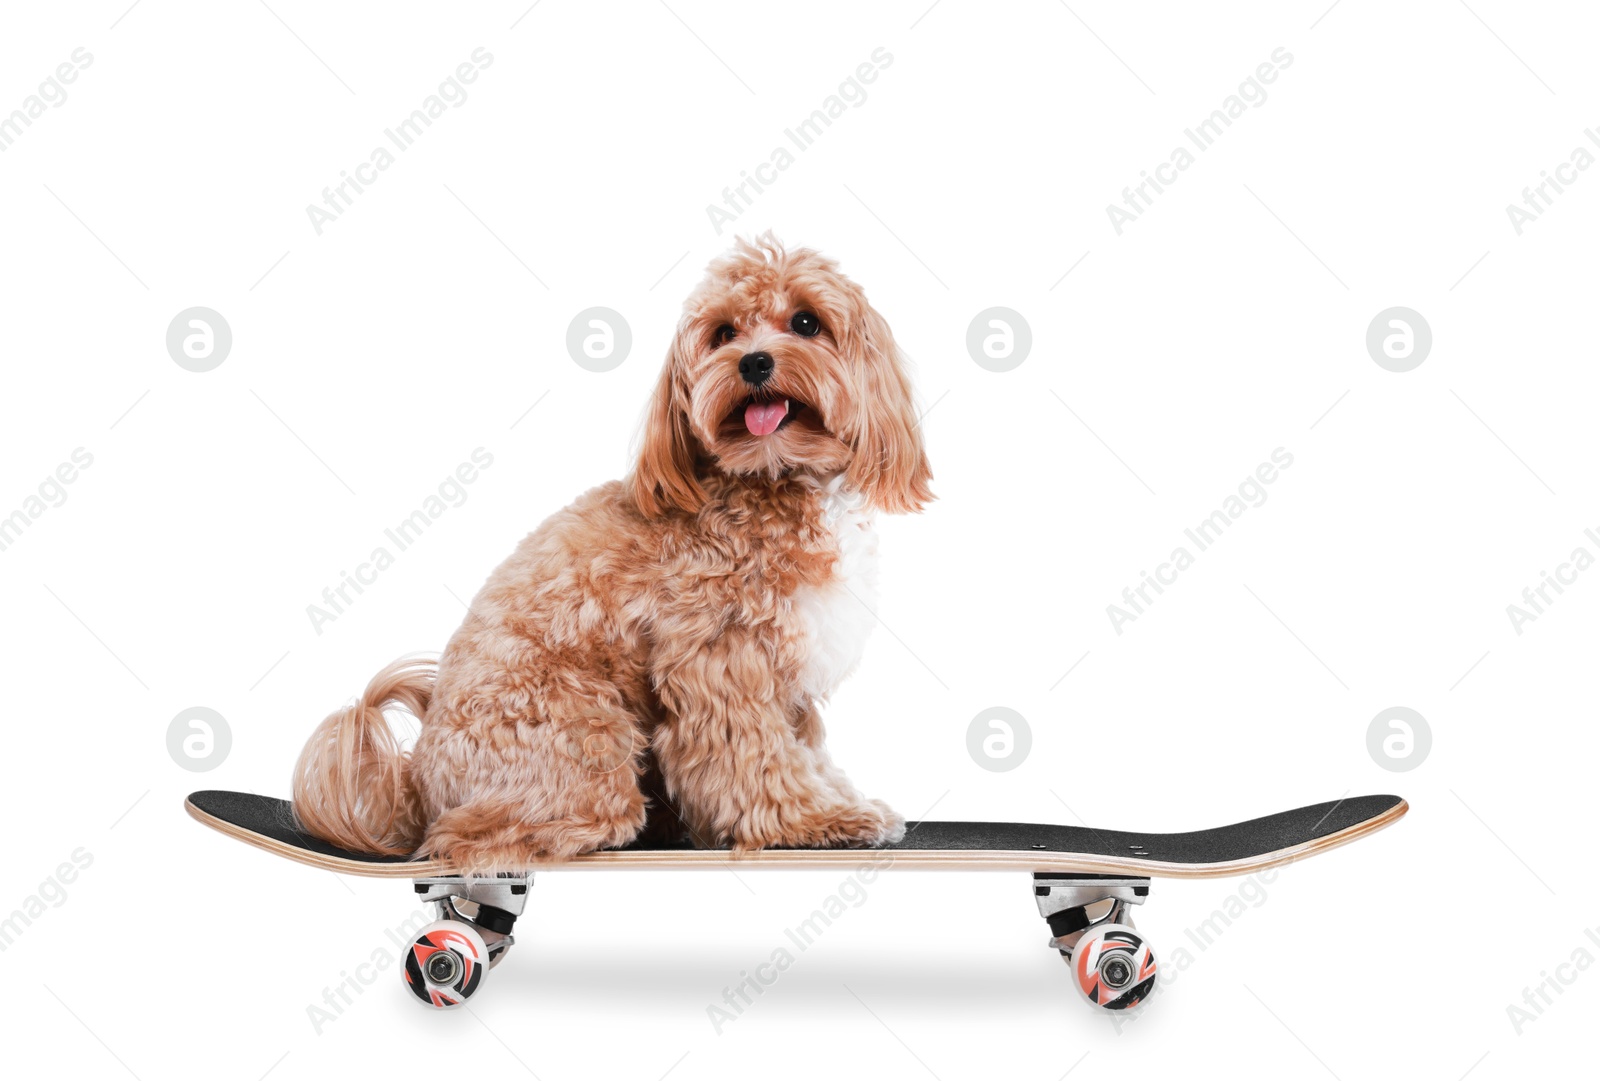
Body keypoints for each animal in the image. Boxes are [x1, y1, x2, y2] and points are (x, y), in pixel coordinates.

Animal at [294, 236, 934, 869]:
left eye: (806, 322)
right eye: (723, 333)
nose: (753, 362)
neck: (773, 481)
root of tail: (416, 782)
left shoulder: (793, 666)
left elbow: (806, 747)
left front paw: (840, 800)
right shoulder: (721, 658)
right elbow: (753, 757)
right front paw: (810, 821)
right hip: (583, 730)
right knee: (471, 835)